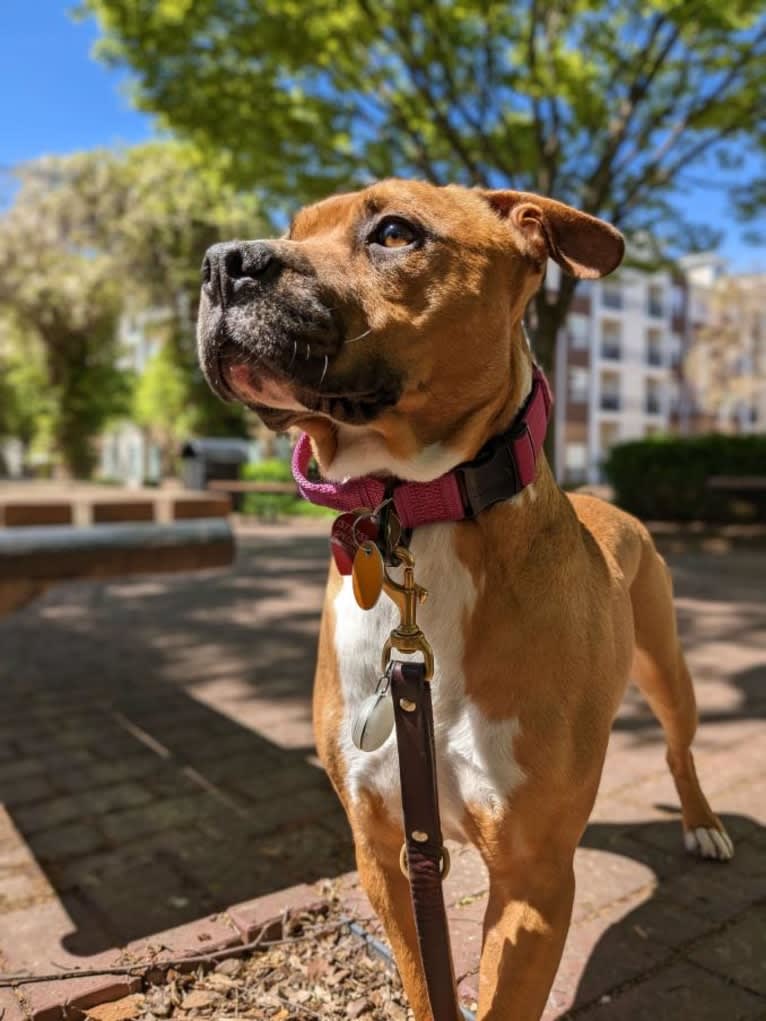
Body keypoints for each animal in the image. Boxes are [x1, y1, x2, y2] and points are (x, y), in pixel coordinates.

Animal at [196, 181, 731, 1021]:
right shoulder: (386, 850)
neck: (417, 511)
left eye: (394, 232)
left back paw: (703, 823)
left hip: (669, 671)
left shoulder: (534, 879)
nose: (221, 263)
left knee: (679, 751)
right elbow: (426, 981)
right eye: (294, 228)